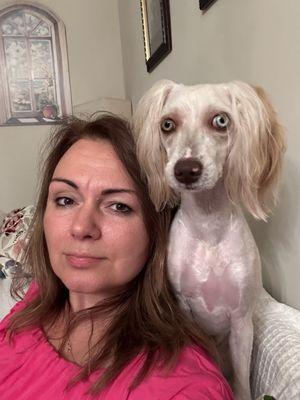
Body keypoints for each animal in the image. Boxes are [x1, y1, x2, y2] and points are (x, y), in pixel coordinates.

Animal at [134, 79, 286, 398]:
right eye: (167, 124)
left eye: (221, 120)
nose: (186, 170)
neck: (207, 229)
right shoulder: (185, 309)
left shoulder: (241, 321)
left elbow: (241, 382)